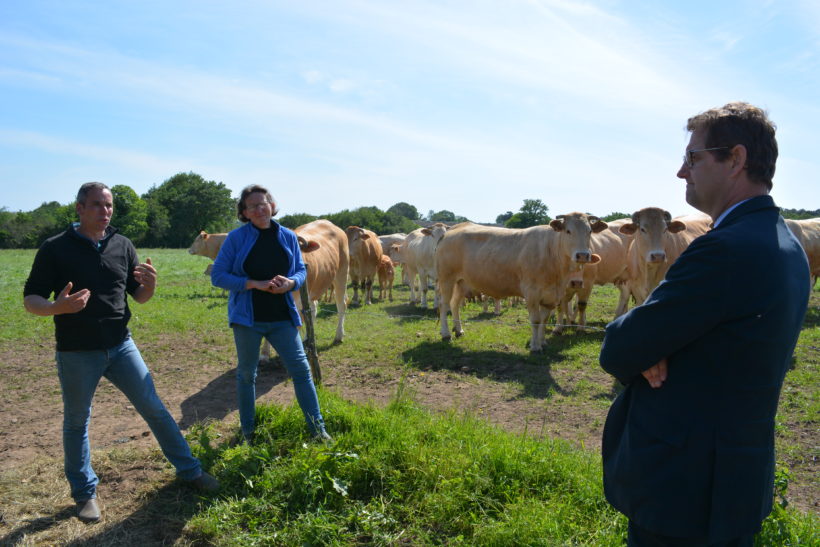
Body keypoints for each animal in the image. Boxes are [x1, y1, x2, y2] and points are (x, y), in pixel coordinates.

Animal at [436, 212, 608, 354]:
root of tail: (455, 228)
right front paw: (535, 347)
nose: (582, 255)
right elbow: (536, 320)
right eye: (568, 231)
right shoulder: (531, 292)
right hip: (446, 278)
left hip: (462, 281)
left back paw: (458, 330)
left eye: (589, 231)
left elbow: (544, 320)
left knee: (455, 304)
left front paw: (542, 342)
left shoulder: (551, 296)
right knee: (444, 305)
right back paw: (446, 334)